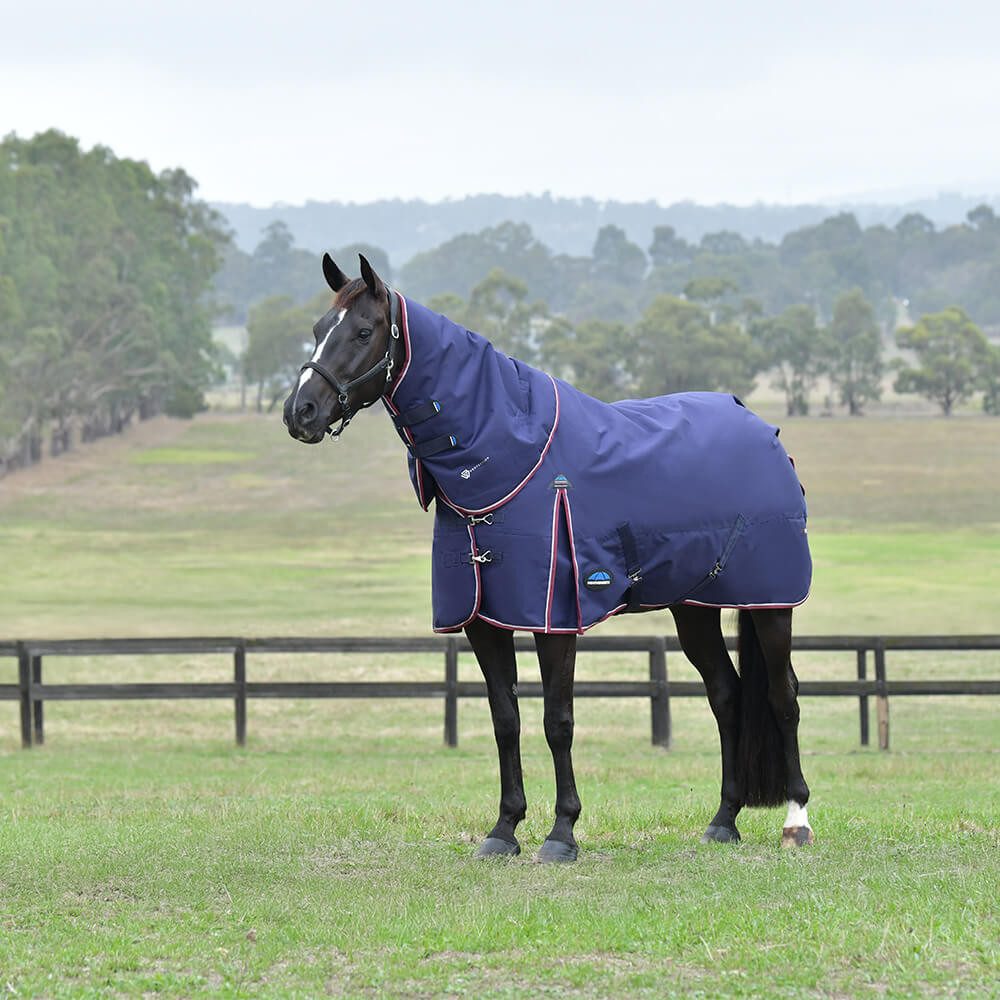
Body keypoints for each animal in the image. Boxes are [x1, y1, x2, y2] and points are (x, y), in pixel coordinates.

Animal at [283, 253, 814, 862]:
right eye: (319, 329)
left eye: (364, 331)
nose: (299, 412)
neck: (508, 460)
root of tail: (764, 431)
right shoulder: (484, 621)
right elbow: (505, 719)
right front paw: (504, 829)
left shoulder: (552, 619)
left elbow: (557, 720)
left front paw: (562, 833)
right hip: (693, 607)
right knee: (726, 695)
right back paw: (723, 820)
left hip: (770, 603)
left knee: (782, 696)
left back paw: (797, 821)